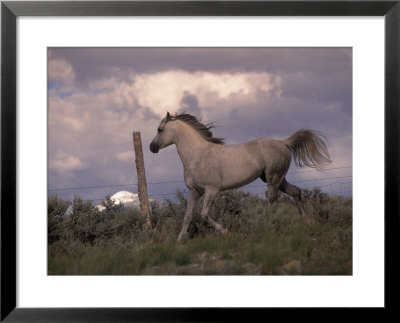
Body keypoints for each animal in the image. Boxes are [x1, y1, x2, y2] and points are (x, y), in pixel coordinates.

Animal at [150, 112, 332, 242]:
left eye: (159, 129)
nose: (152, 147)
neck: (198, 155)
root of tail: (284, 143)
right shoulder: (194, 192)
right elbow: (187, 216)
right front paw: (179, 240)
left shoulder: (212, 190)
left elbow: (203, 214)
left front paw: (226, 232)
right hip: (278, 179)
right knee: (296, 191)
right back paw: (307, 221)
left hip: (273, 178)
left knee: (272, 199)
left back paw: (263, 224)